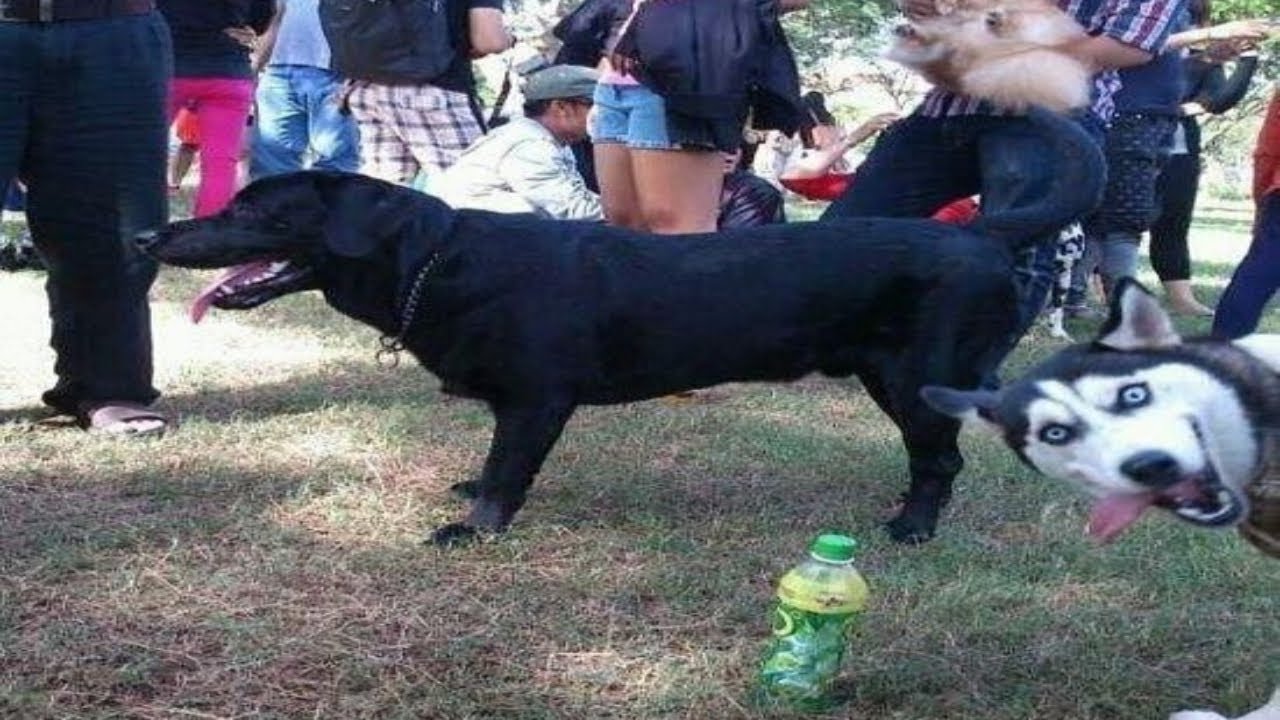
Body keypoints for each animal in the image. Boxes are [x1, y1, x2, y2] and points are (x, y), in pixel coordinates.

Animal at [139, 108, 1102, 547]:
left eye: (259, 208)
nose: (150, 235)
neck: (438, 262)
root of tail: (979, 231)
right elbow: (491, 461)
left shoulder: (537, 399)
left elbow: (507, 470)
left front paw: (475, 528)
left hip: (917, 376)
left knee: (941, 461)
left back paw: (912, 528)